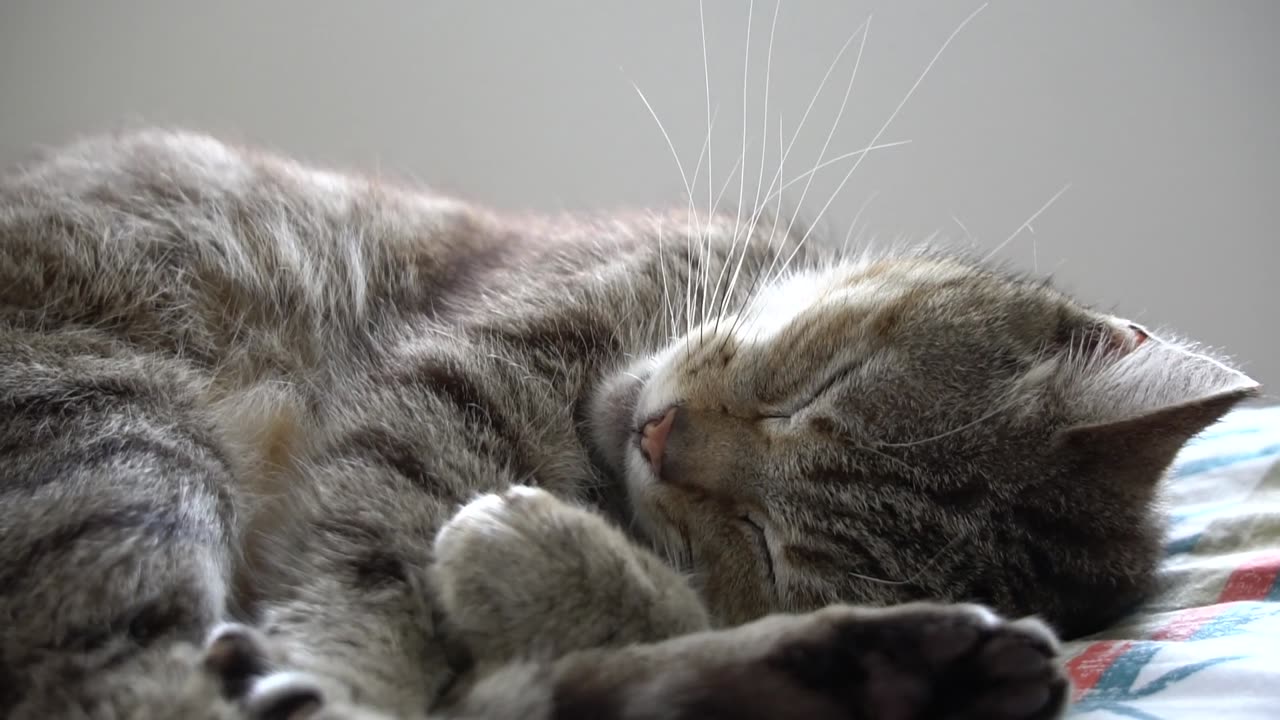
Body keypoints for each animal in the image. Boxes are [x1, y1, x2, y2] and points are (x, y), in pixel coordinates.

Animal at [0, 130, 1259, 717]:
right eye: (820, 383)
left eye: (767, 554)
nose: (661, 439)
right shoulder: (452, 387)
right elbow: (371, 581)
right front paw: (362, 663)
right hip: (109, 432)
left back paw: (875, 671)